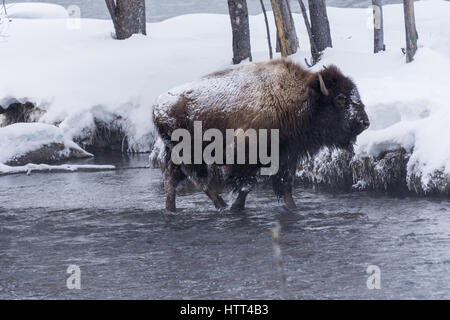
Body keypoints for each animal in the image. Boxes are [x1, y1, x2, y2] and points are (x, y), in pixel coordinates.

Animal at [152, 58, 370, 211]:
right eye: (340, 99)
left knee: (171, 181)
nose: (365, 123)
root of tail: (157, 105)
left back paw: (174, 209)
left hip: (173, 153)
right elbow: (246, 185)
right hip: (190, 152)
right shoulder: (245, 157)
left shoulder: (287, 157)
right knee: (197, 179)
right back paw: (221, 205)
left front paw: (292, 208)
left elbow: (285, 186)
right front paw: (236, 207)